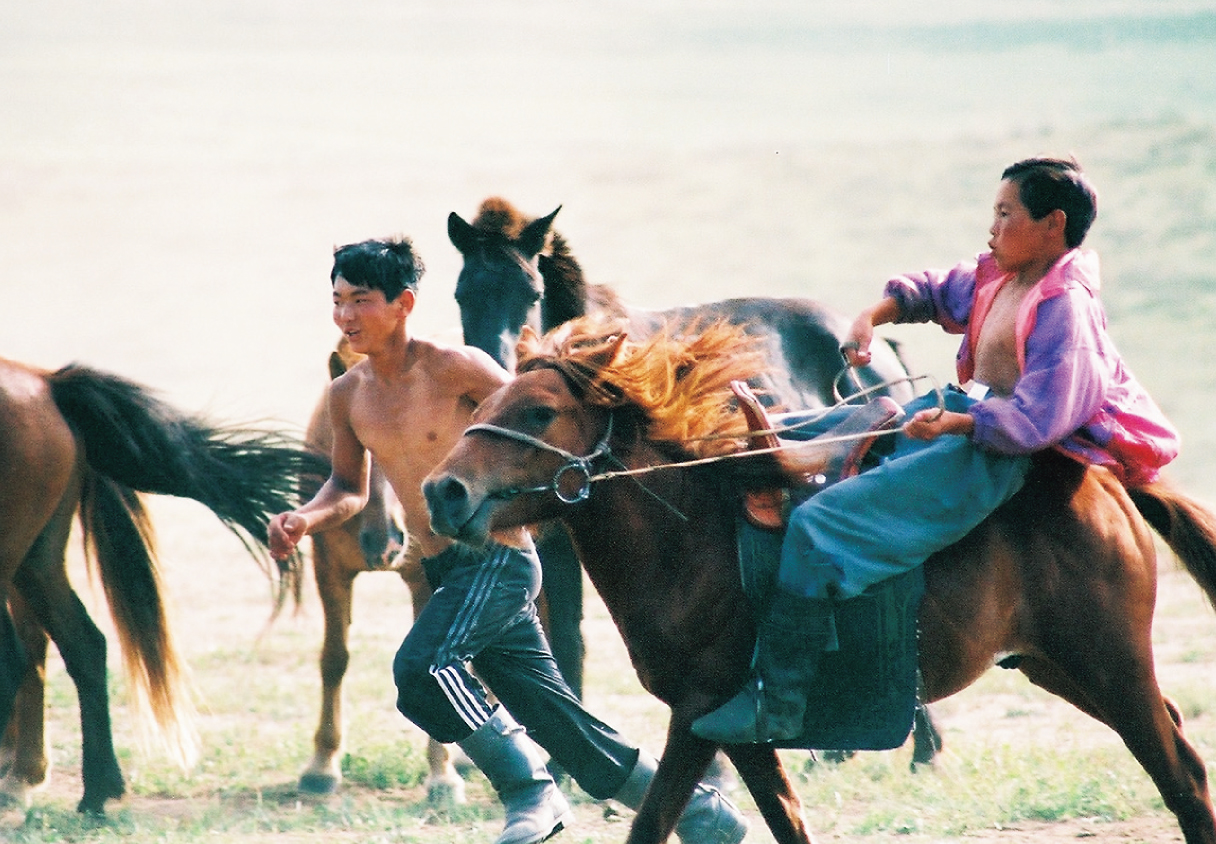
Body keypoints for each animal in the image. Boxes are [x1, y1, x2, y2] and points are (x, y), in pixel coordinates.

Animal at [420, 318, 1216, 844]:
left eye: (539, 411)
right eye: (482, 405)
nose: (442, 492)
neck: (694, 536)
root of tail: (1098, 479)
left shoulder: (700, 710)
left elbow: (654, 822)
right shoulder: (730, 728)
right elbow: (783, 821)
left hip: (1109, 661)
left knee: (1179, 773)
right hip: (1058, 666)